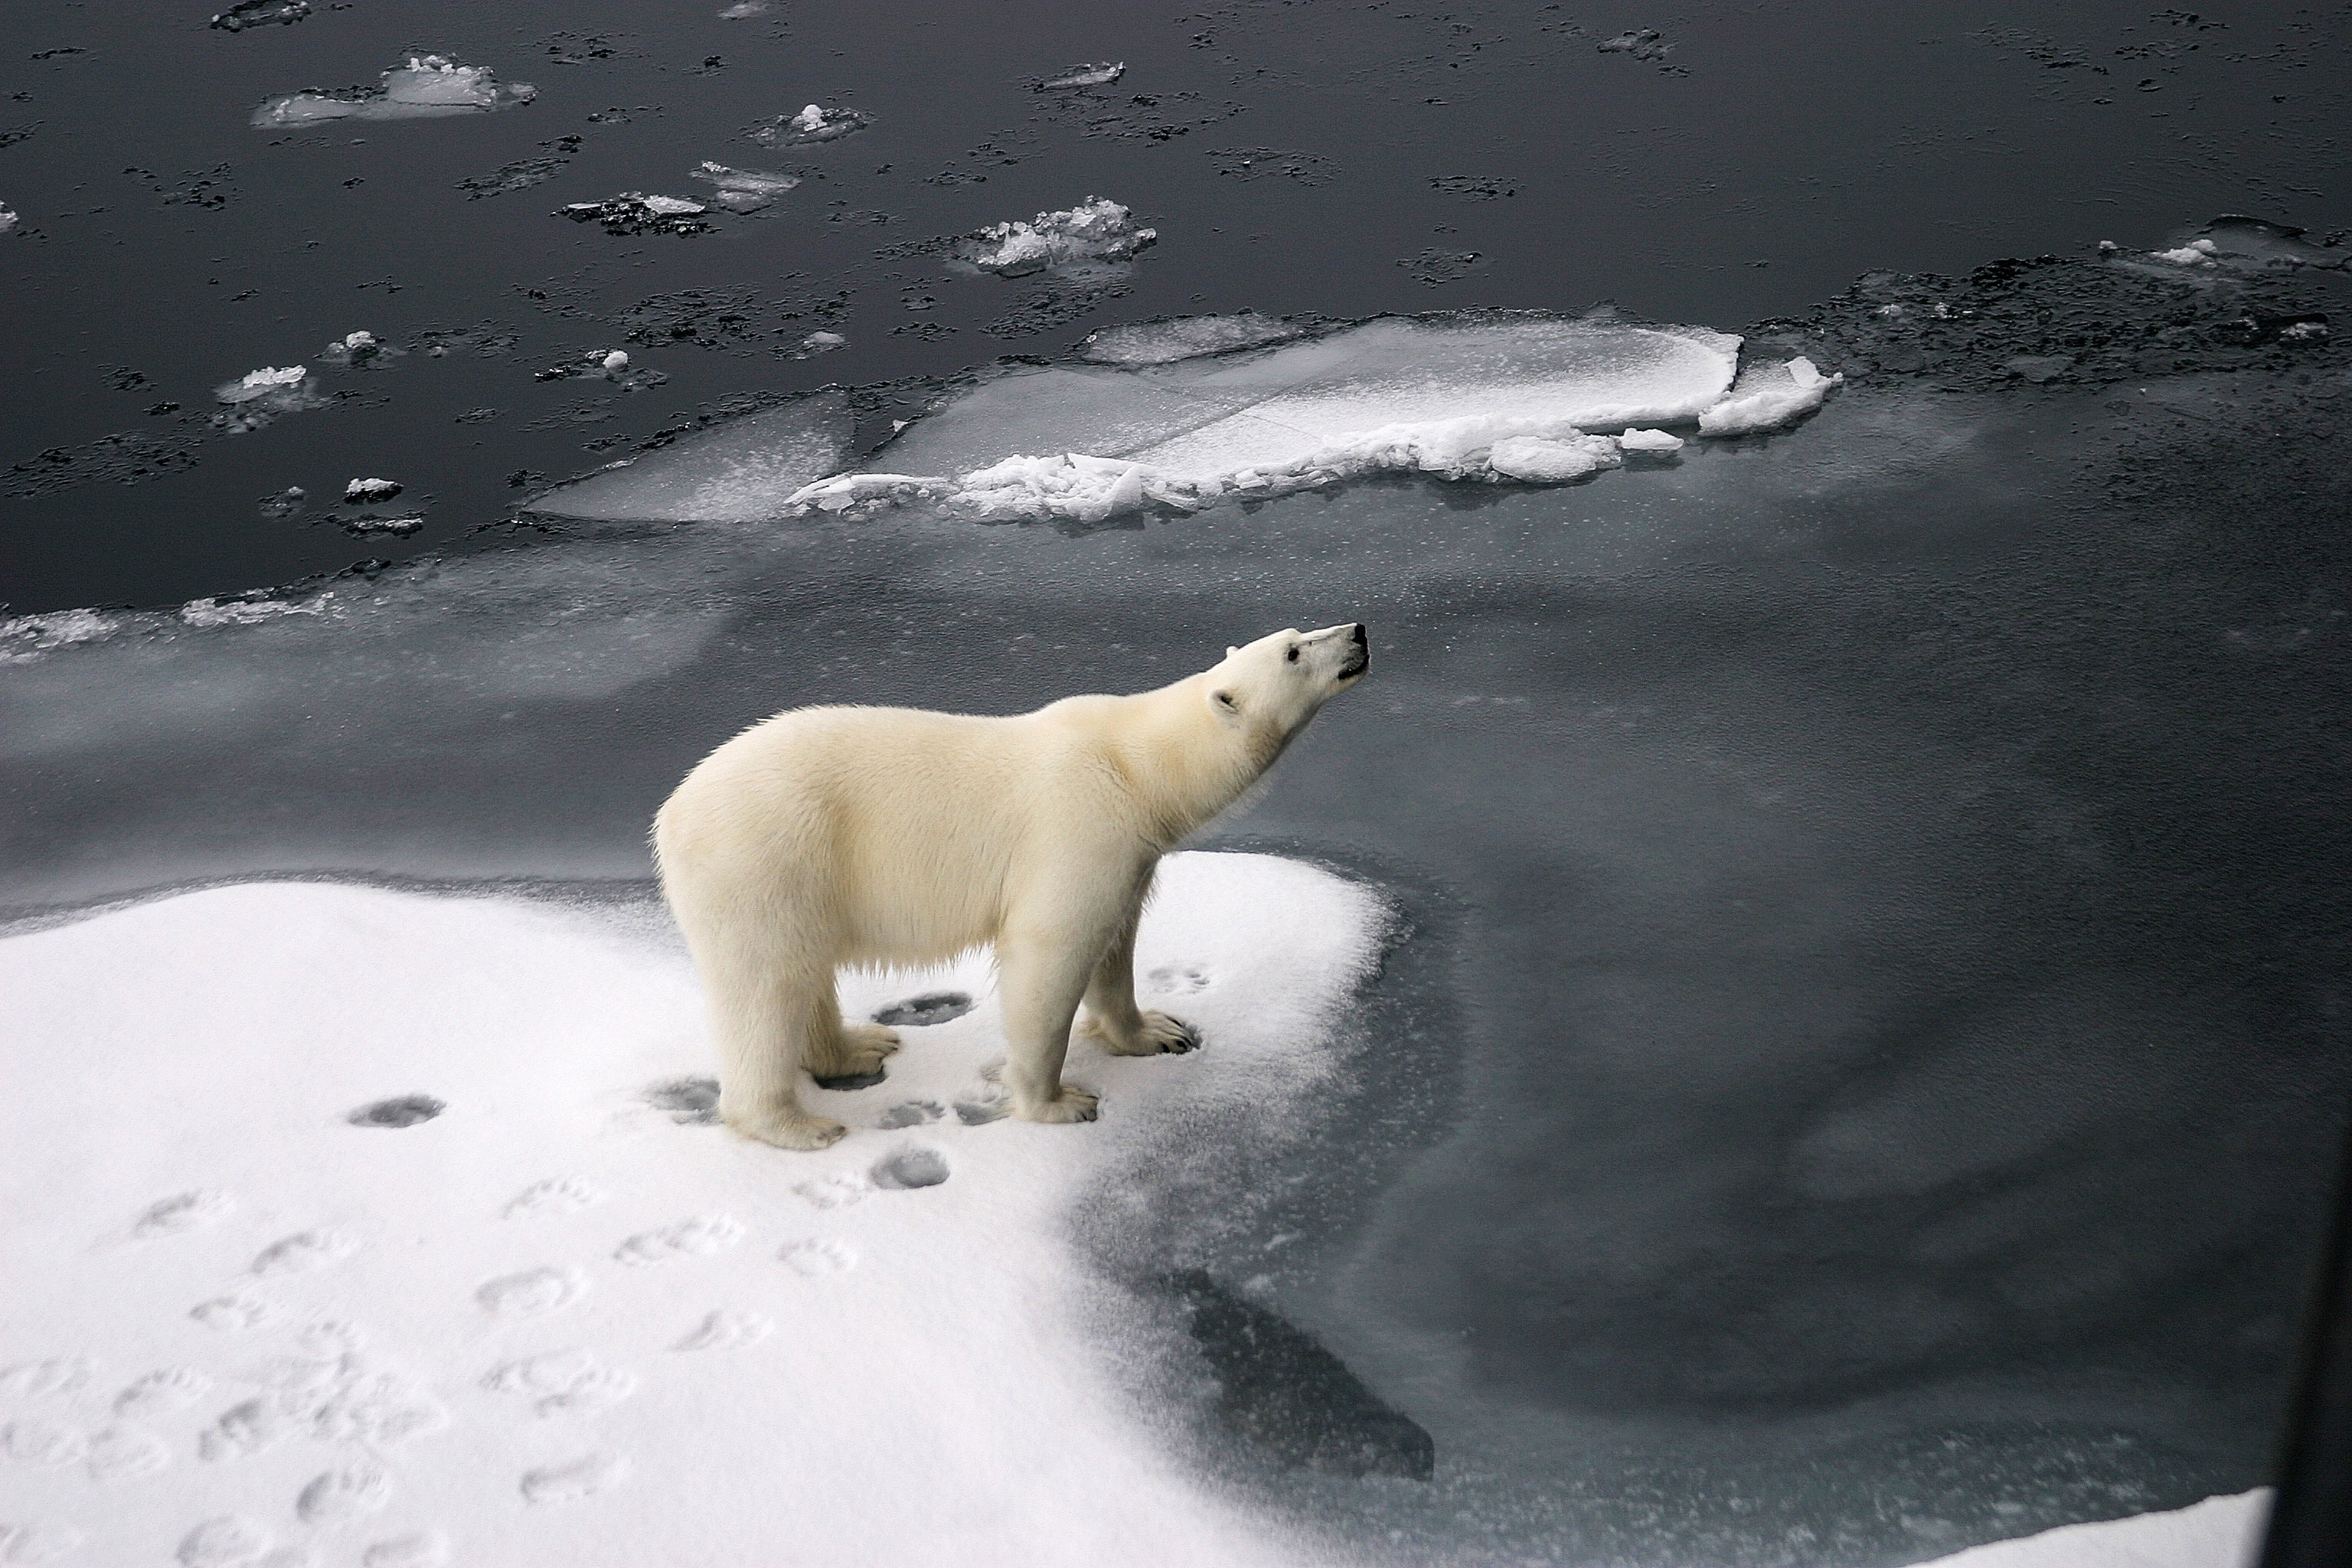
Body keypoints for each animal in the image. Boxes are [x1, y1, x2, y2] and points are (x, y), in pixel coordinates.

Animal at [654, 625, 1374, 1152]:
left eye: (1296, 631)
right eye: (1294, 651)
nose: (1358, 631)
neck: (1138, 768)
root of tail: (673, 811)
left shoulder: (1130, 852)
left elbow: (1116, 945)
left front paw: (1155, 1031)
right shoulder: (1076, 828)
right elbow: (1049, 956)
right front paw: (1059, 1103)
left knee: (804, 972)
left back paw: (859, 1046)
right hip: (766, 857)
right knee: (765, 987)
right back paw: (797, 1124)